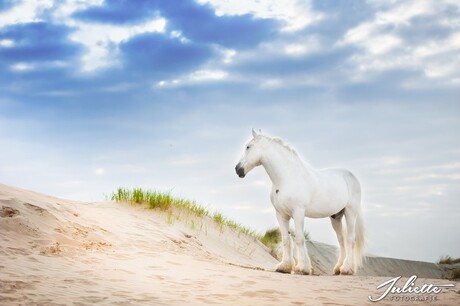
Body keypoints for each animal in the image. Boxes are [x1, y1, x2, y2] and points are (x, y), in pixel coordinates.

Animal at [235, 129, 364, 274]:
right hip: (336, 217)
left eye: (248, 147)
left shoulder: (298, 212)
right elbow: (286, 240)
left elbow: (299, 239)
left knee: (350, 239)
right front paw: (284, 266)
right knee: (341, 240)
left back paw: (347, 269)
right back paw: (337, 268)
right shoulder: (281, 214)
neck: (286, 178)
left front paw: (302, 268)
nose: (237, 169)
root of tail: (352, 176)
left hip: (350, 212)